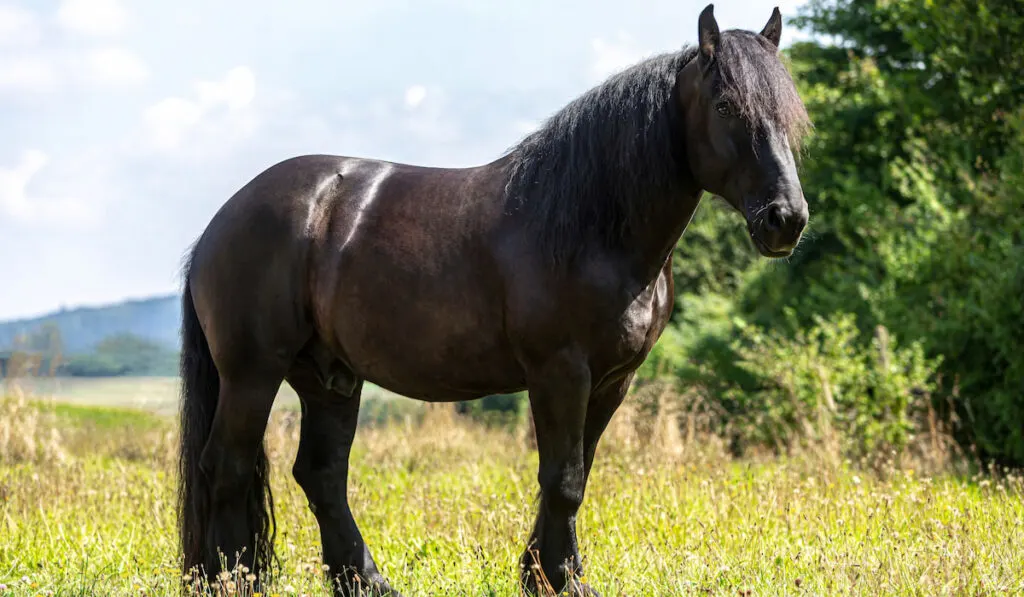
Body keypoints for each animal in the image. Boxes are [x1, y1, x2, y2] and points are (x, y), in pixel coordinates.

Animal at [180, 3, 811, 593]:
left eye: (789, 113)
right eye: (725, 105)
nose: (786, 219)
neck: (590, 225)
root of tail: (219, 223)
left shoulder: (613, 379)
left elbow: (577, 473)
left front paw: (547, 574)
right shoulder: (560, 372)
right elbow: (562, 479)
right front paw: (558, 579)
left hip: (329, 376)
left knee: (321, 474)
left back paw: (367, 581)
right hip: (253, 372)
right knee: (226, 466)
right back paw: (230, 580)